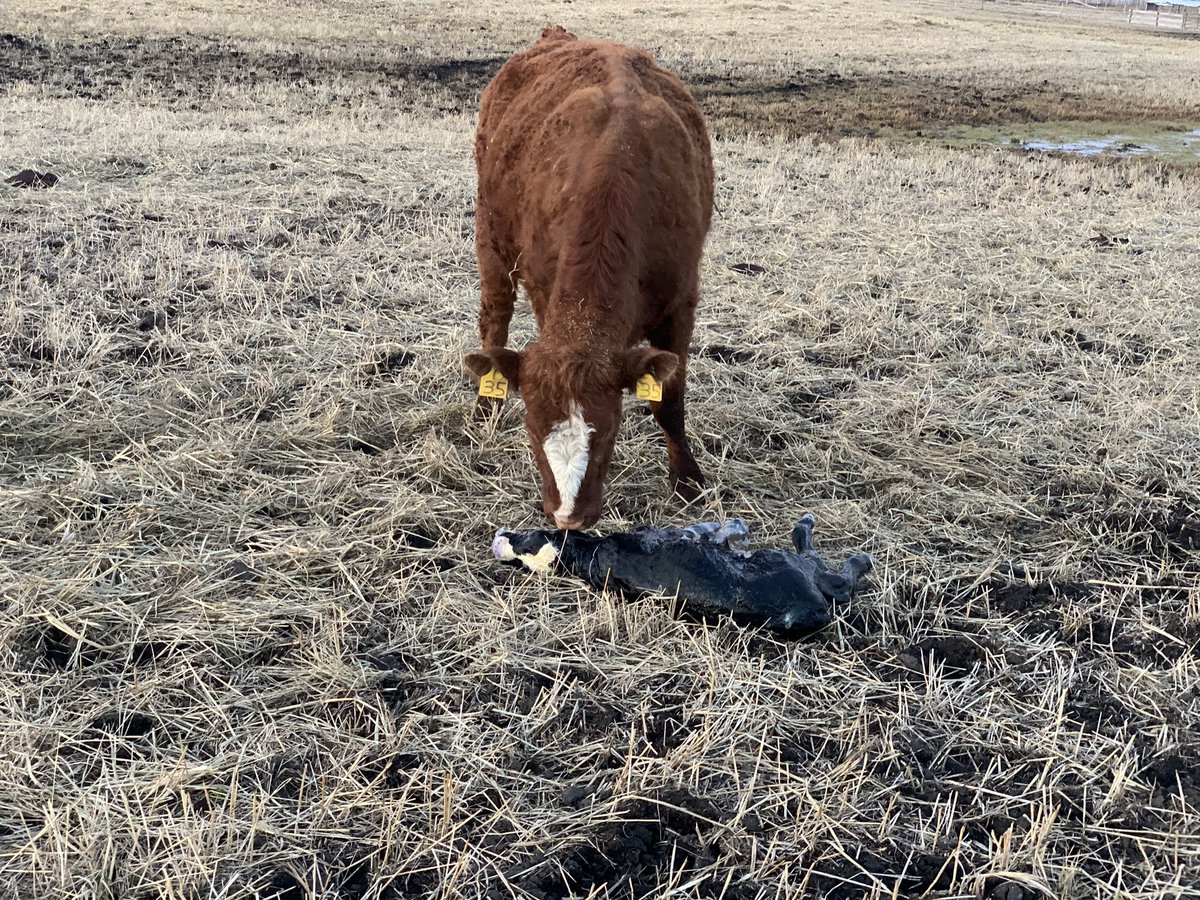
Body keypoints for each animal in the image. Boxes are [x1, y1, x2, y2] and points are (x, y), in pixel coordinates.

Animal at [465, 25, 714, 531]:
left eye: (611, 430)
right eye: (532, 431)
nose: (568, 519)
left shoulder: (681, 304)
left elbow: (669, 400)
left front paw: (686, 478)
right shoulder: (545, 293)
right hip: (490, 236)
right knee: (494, 315)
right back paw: (485, 407)